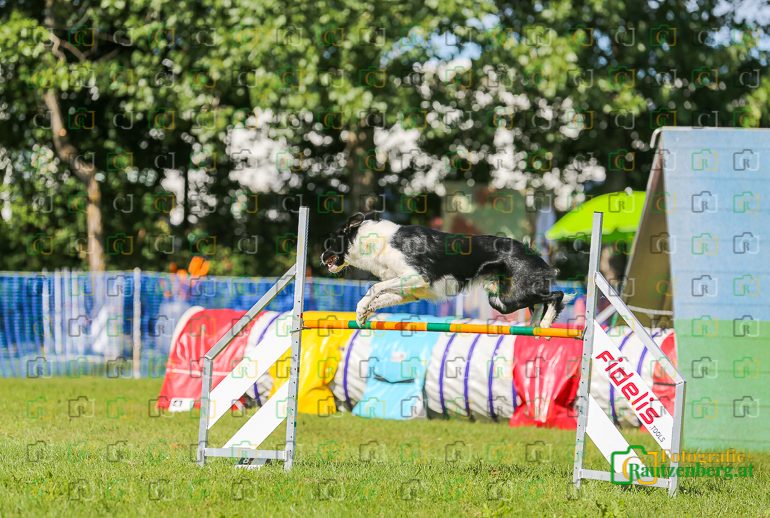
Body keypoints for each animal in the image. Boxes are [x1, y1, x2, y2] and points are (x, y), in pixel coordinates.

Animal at [320, 212, 574, 327]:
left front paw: (363, 309)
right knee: (540, 301)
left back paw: (545, 323)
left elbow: (374, 288)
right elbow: (378, 296)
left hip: (510, 297)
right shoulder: (409, 291)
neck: (375, 242)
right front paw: (363, 312)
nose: (322, 258)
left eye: (330, 241)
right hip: (501, 300)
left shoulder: (418, 276)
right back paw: (534, 327)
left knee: (557, 295)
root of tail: (535, 254)